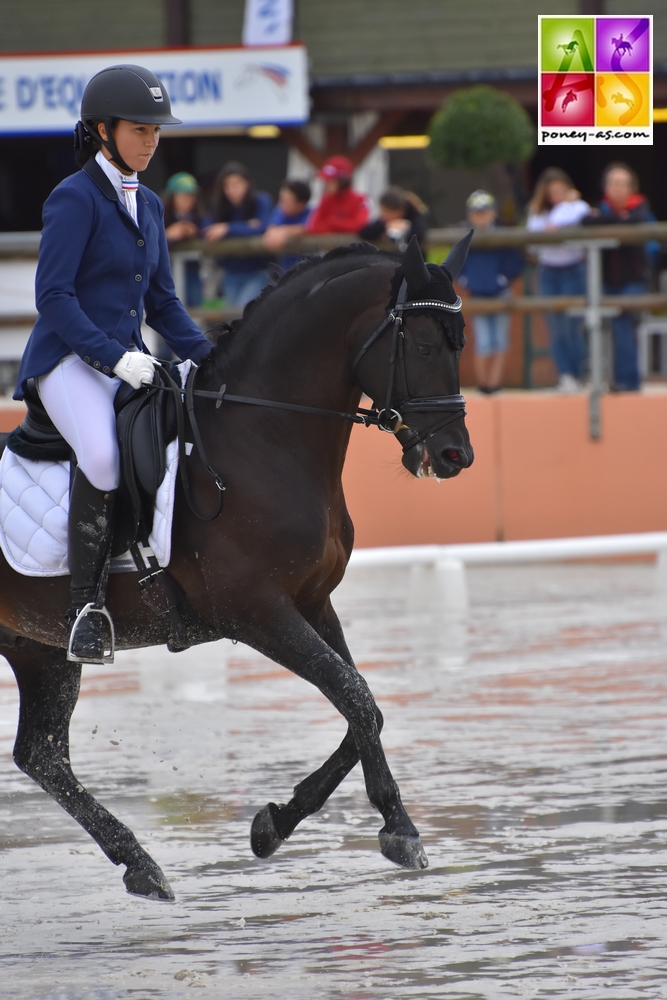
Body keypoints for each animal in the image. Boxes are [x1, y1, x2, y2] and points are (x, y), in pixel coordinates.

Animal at [0, 232, 474, 900]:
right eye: (426, 344)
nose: (456, 455)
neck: (262, 435)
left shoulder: (312, 601)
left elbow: (365, 704)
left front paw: (276, 823)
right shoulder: (256, 612)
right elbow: (355, 696)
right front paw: (399, 829)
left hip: (37, 648)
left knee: (41, 755)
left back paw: (141, 865)